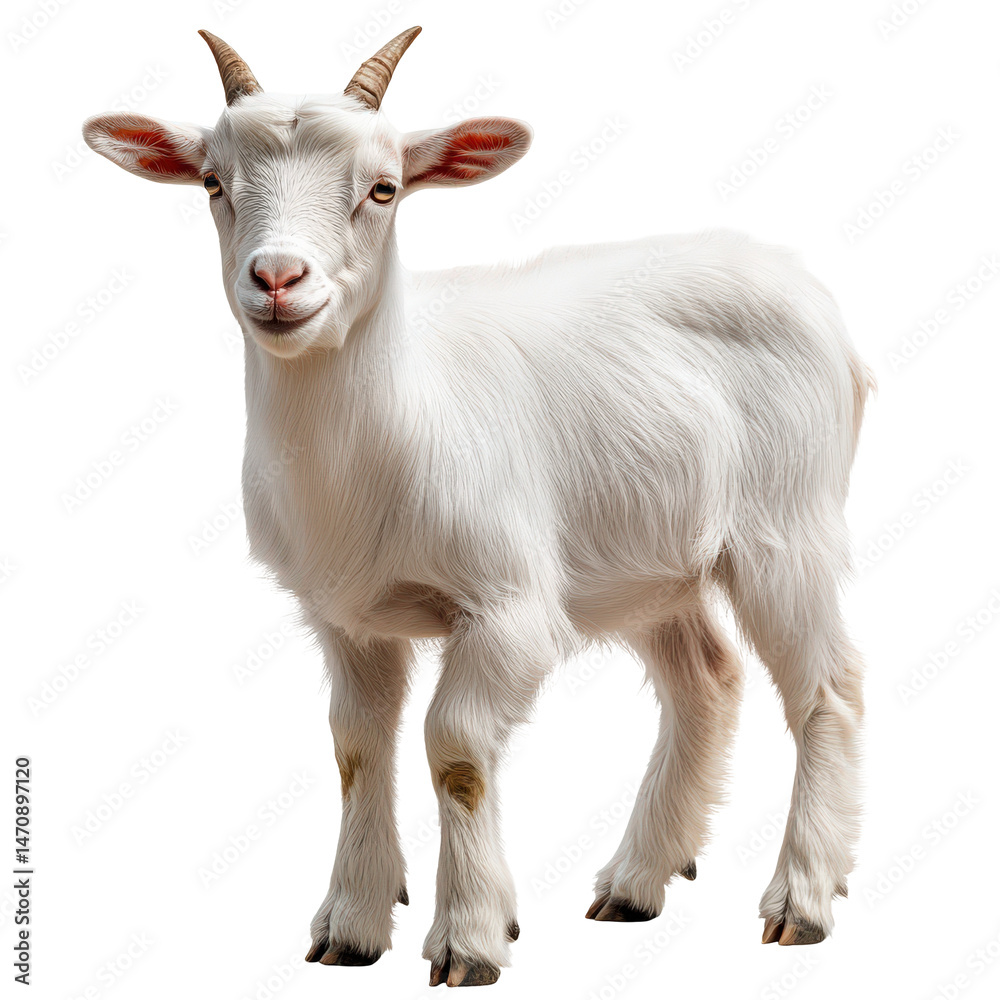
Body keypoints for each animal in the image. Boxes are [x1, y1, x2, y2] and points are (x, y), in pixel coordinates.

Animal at [83, 27, 874, 987]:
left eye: (384, 188)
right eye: (212, 184)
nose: (277, 280)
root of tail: (804, 288)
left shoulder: (509, 605)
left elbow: (455, 748)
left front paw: (469, 938)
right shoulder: (345, 618)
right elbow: (355, 747)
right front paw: (351, 928)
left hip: (785, 527)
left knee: (828, 688)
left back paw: (801, 899)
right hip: (646, 559)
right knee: (707, 680)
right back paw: (635, 883)